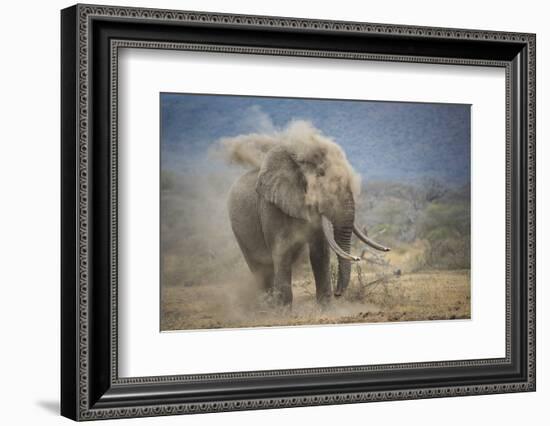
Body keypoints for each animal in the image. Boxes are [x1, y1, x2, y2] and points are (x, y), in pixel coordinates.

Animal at [224, 120, 388, 306]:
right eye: (321, 176)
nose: (339, 293)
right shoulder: (270, 206)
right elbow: (282, 251)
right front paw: (283, 310)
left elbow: (320, 252)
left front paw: (326, 307)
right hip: (239, 231)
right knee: (259, 267)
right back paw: (266, 305)